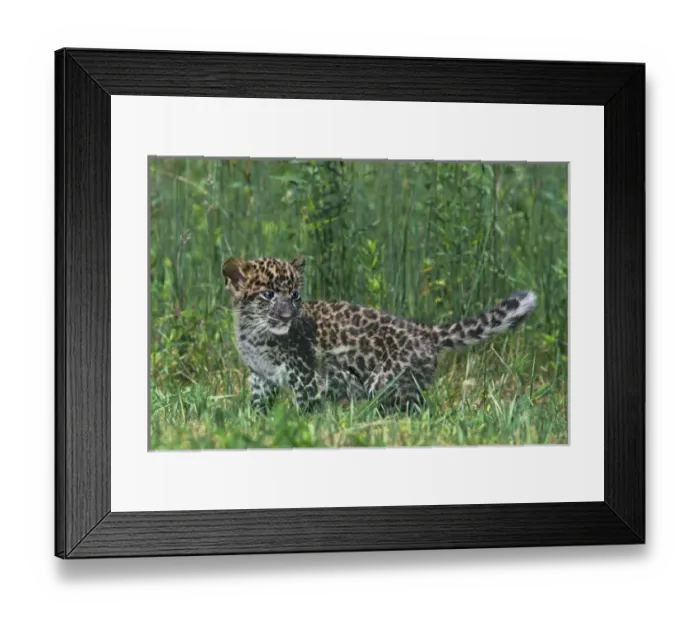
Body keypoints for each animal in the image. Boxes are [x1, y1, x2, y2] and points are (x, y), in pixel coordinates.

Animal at [222, 255, 537, 414]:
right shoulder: (260, 377)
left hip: (384, 382)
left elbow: (306, 410)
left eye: (295, 294)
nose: (288, 315)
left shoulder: (304, 376)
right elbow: (257, 407)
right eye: (269, 294)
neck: (254, 333)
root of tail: (425, 332)